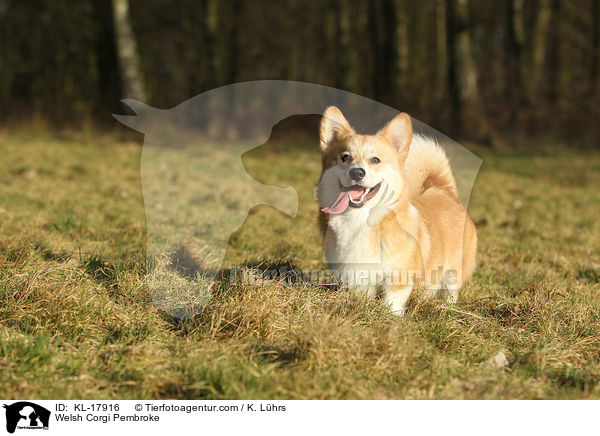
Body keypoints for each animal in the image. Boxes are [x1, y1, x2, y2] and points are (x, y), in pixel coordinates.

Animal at [316, 107, 476, 316]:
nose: (357, 172)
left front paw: (391, 317)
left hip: (453, 271)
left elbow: (392, 302)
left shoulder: (399, 276)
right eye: (345, 157)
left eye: (375, 160)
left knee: (450, 290)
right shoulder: (358, 276)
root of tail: (443, 190)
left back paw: (447, 308)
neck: (360, 218)